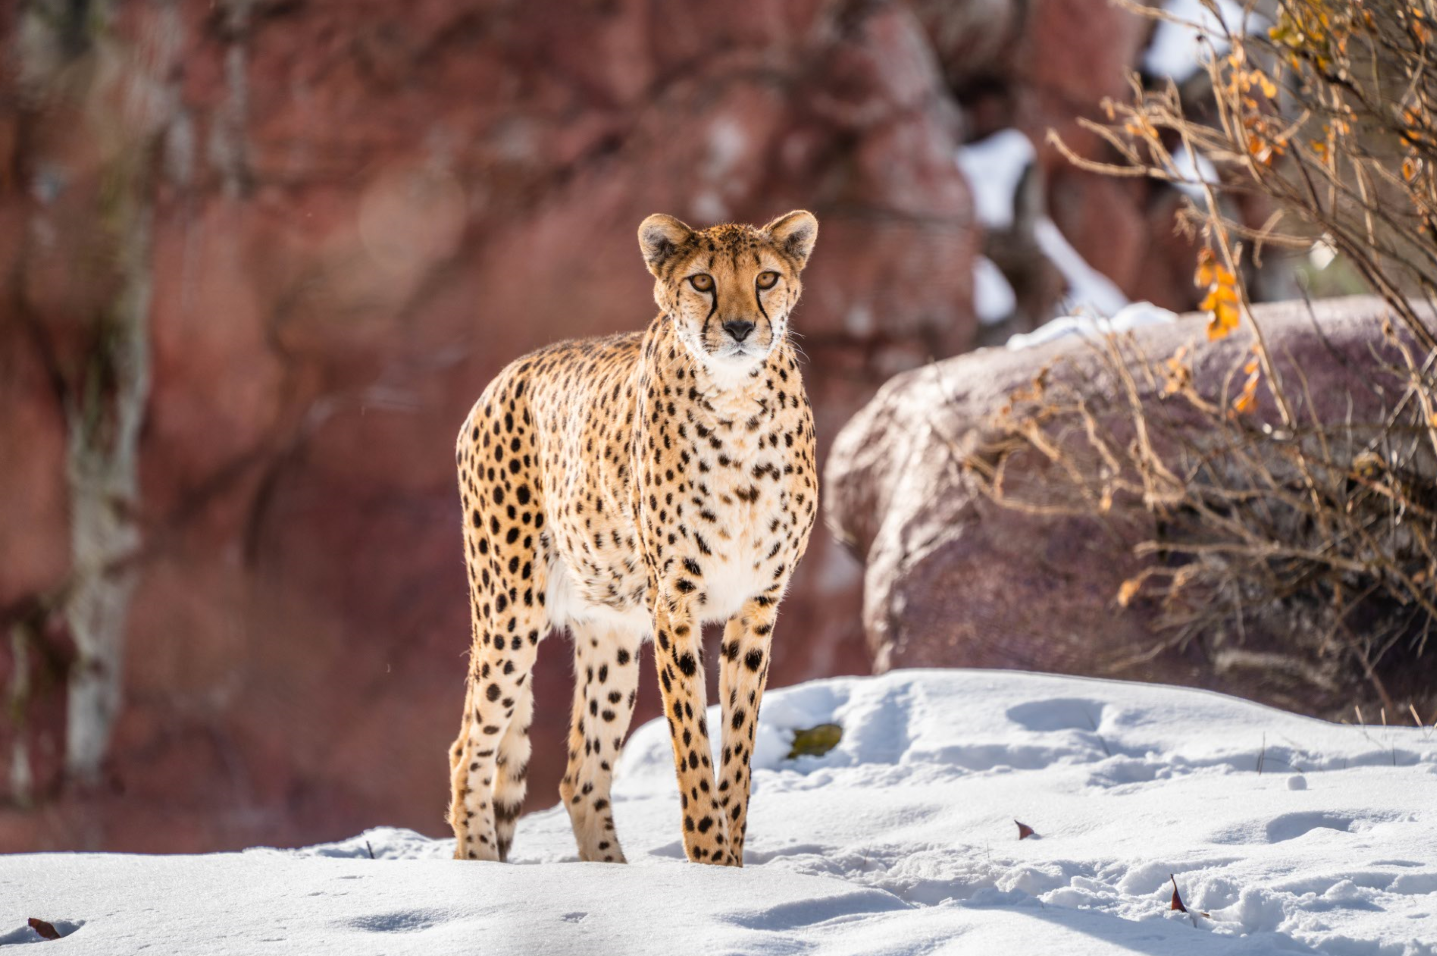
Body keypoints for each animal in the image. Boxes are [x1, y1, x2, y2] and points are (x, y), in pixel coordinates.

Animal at [447, 210, 819, 867]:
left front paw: (735, 865)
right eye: (702, 281)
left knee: (580, 774)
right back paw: (479, 869)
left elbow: (740, 746)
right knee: (470, 749)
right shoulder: (676, 600)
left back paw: (613, 875)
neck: (738, 404)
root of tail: (505, 375)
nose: (741, 327)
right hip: (508, 613)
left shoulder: (757, 604)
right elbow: (691, 739)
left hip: (612, 634)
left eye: (767, 277)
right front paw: (709, 859)